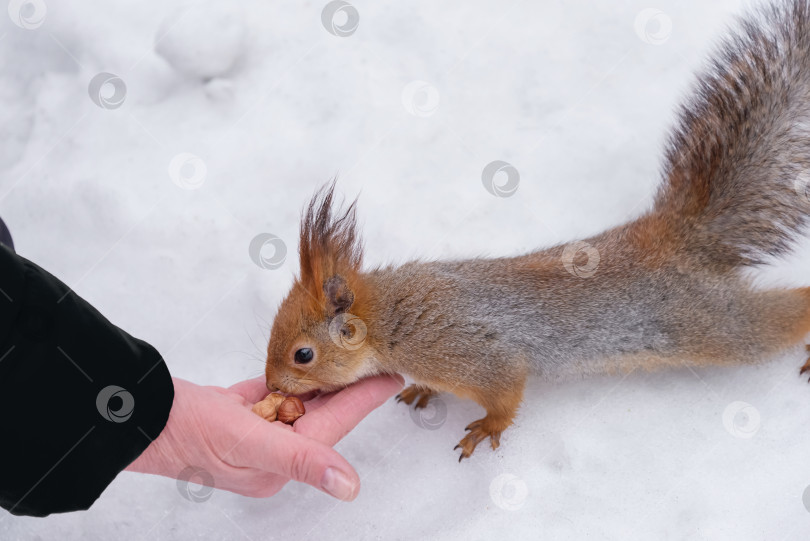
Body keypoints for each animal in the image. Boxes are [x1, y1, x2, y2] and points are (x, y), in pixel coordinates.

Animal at [264, 0, 808, 460]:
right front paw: (421, 388)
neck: (390, 318)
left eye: (303, 354)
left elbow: (506, 392)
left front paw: (487, 427)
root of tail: (678, 236)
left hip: (713, 324)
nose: (270, 387)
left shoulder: (471, 353)